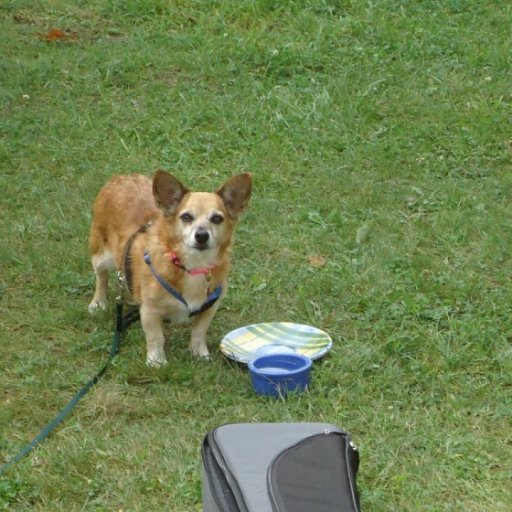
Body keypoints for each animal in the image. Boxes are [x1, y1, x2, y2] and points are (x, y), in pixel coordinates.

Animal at [88, 170, 252, 366]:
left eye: (217, 219)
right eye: (186, 217)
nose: (202, 235)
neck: (191, 267)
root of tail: (120, 178)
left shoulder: (209, 309)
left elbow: (199, 332)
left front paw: (199, 352)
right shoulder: (150, 312)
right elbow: (156, 337)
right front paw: (156, 360)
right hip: (102, 256)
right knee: (101, 277)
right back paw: (98, 302)